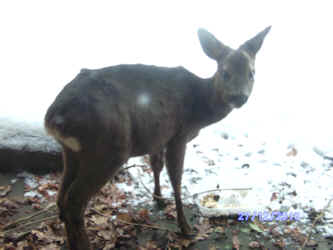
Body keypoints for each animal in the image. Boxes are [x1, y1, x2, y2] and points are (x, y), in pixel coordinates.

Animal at [44, 26, 270, 249]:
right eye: (225, 72)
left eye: (252, 73)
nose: (238, 97)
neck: (200, 108)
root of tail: (53, 118)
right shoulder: (179, 135)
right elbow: (176, 179)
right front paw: (185, 227)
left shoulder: (157, 136)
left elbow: (156, 165)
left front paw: (159, 198)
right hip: (110, 148)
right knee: (74, 200)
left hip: (72, 151)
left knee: (62, 196)